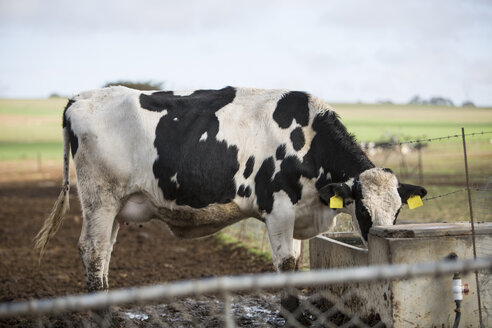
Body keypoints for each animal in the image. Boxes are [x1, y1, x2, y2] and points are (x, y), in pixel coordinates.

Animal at [34, 87, 426, 312]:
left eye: (397, 212)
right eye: (363, 209)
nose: (381, 240)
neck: (308, 138)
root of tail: (82, 96)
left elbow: (295, 264)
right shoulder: (278, 209)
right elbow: (286, 268)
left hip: (115, 207)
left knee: (103, 254)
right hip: (99, 199)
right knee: (93, 251)